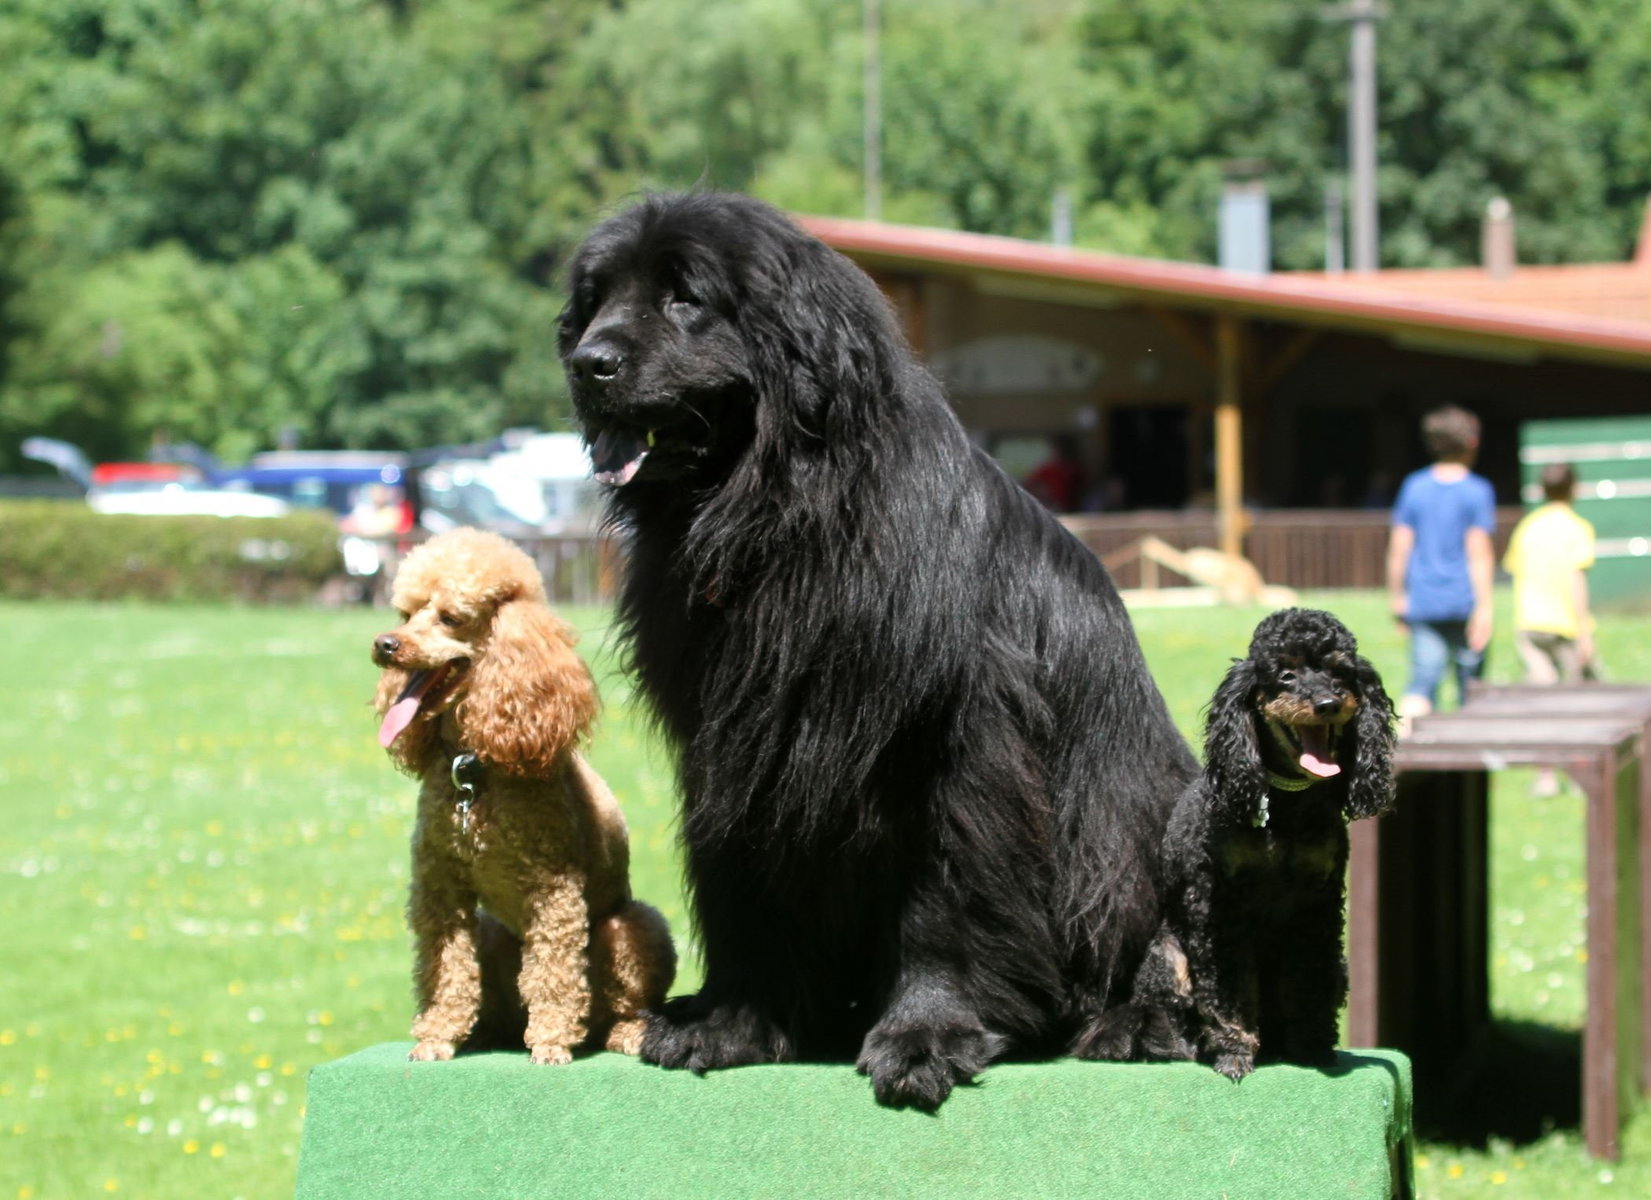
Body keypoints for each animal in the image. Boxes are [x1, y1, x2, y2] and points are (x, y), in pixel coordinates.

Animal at [561, 194, 1195, 1109]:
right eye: (595, 298)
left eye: (685, 296)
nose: (588, 363)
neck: (783, 523)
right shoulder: (736, 745)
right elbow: (737, 883)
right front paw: (732, 1021)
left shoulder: (954, 744)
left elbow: (942, 897)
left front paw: (923, 1034)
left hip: (1132, 818)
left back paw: (1134, 1022)